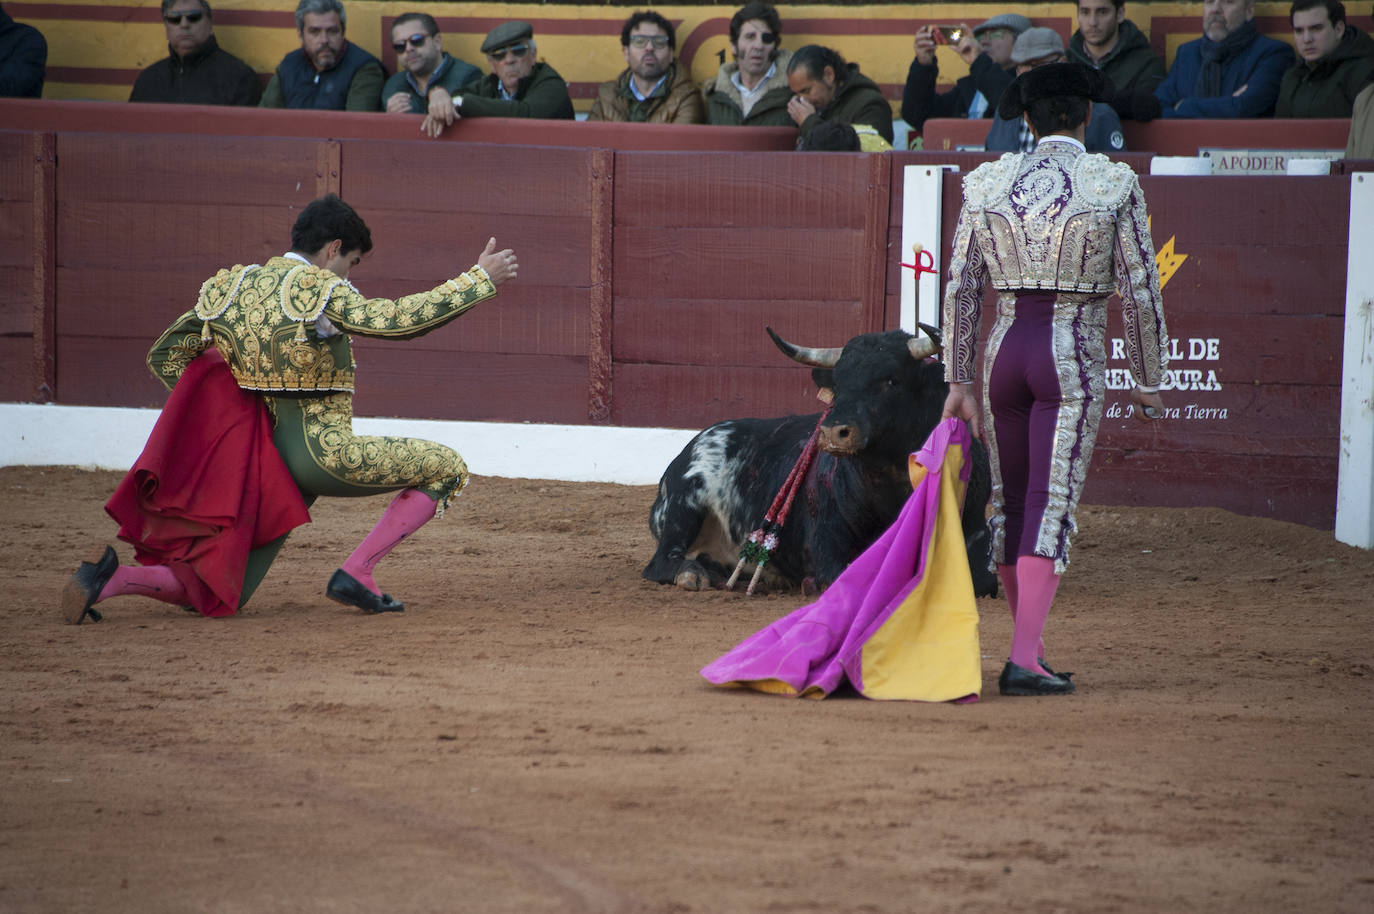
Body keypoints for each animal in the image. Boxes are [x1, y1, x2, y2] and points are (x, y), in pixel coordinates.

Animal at [643, 324, 1000, 596]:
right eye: (837, 383)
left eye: (891, 380)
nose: (834, 432)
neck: (890, 489)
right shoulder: (827, 544)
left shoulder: (975, 535)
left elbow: (981, 581)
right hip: (683, 506)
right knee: (660, 563)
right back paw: (693, 574)